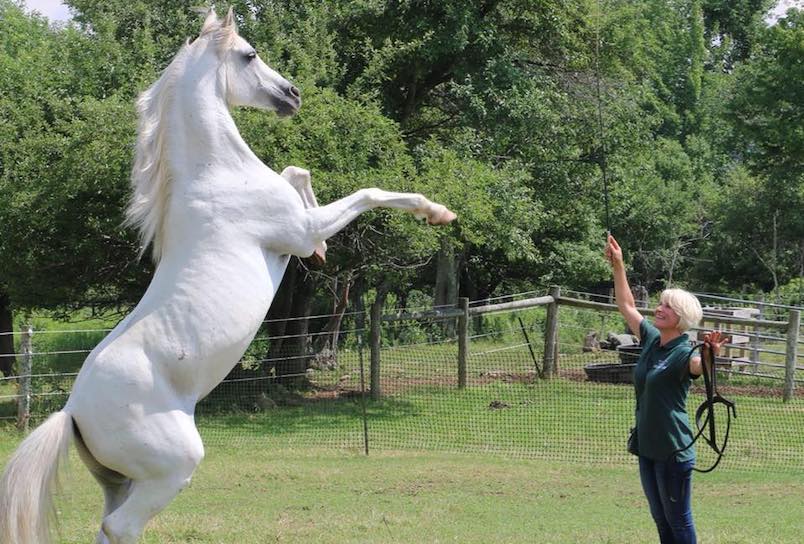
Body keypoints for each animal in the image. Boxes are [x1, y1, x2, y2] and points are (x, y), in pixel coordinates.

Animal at [0, 9, 455, 544]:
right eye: (250, 54)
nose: (292, 94)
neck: (215, 174)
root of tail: (72, 412)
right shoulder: (298, 230)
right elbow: (365, 193)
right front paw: (436, 212)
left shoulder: (296, 222)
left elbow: (297, 171)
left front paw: (324, 254)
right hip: (172, 468)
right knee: (120, 526)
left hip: (122, 481)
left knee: (107, 526)